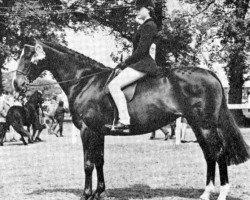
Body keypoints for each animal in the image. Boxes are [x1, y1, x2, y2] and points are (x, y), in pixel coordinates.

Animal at [13, 41, 250, 200]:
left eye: (28, 57)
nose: (16, 84)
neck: (85, 81)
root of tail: (210, 74)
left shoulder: (87, 130)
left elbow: (88, 163)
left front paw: (86, 194)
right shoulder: (99, 132)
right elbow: (99, 160)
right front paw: (99, 192)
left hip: (205, 126)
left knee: (219, 153)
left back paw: (221, 193)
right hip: (197, 125)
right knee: (209, 155)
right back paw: (205, 193)